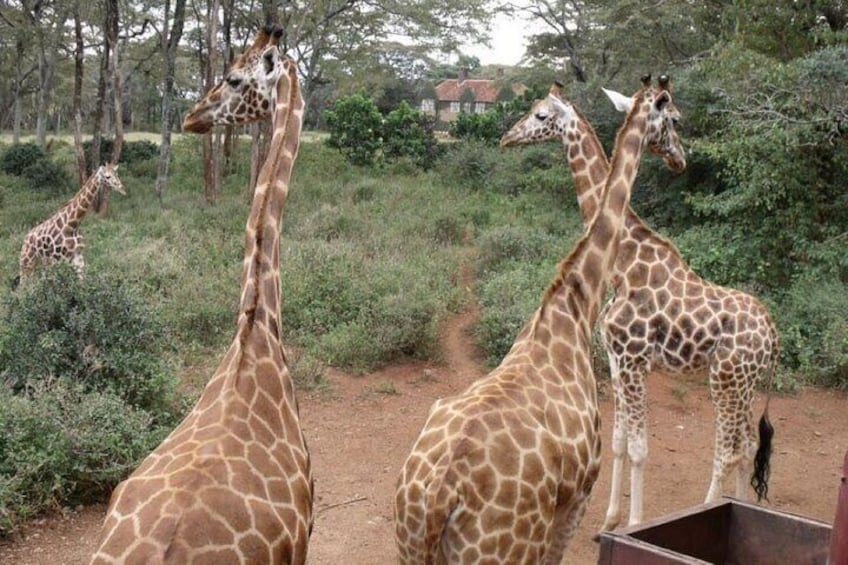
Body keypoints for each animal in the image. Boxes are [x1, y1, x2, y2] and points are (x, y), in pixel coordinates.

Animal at [394, 75, 686, 564]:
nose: (680, 158)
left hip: (408, 543)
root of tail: (439, 498)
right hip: (506, 550)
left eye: (538, 113)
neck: (573, 308)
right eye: (675, 119)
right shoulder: (579, 493)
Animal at [500, 81, 778, 533]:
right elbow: (618, 441)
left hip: (725, 379)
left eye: (541, 115)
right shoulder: (616, 359)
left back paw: (707, 512)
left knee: (728, 449)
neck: (625, 263)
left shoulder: (634, 359)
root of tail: (774, 333)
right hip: (746, 383)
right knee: (748, 442)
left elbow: (639, 447)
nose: (680, 159)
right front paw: (610, 519)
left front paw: (632, 524)